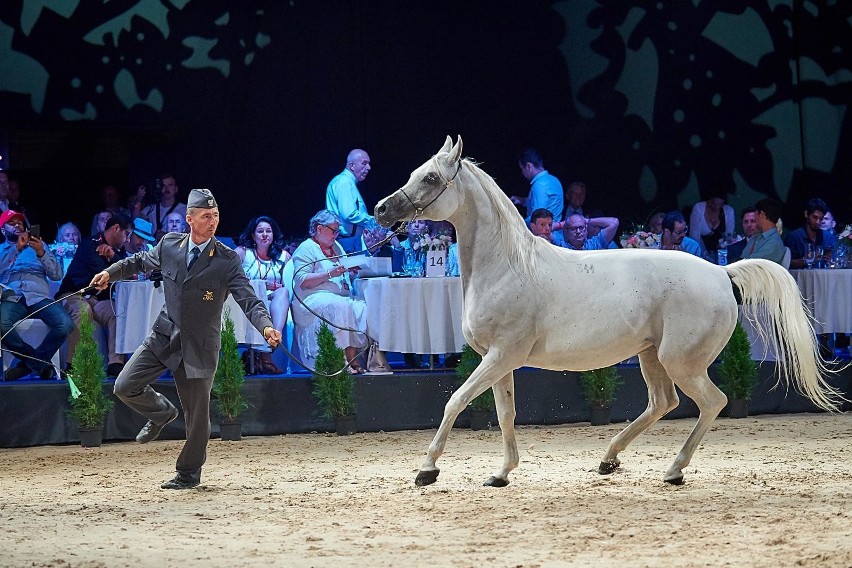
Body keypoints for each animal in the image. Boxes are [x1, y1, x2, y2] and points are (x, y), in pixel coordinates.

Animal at [376, 135, 844, 486]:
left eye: (431, 177)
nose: (382, 209)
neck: (508, 267)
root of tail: (721, 273)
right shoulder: (500, 360)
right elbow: (505, 414)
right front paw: (502, 473)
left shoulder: (501, 355)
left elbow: (455, 401)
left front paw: (427, 469)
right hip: (652, 356)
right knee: (663, 402)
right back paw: (609, 459)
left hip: (681, 361)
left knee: (713, 402)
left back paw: (673, 470)